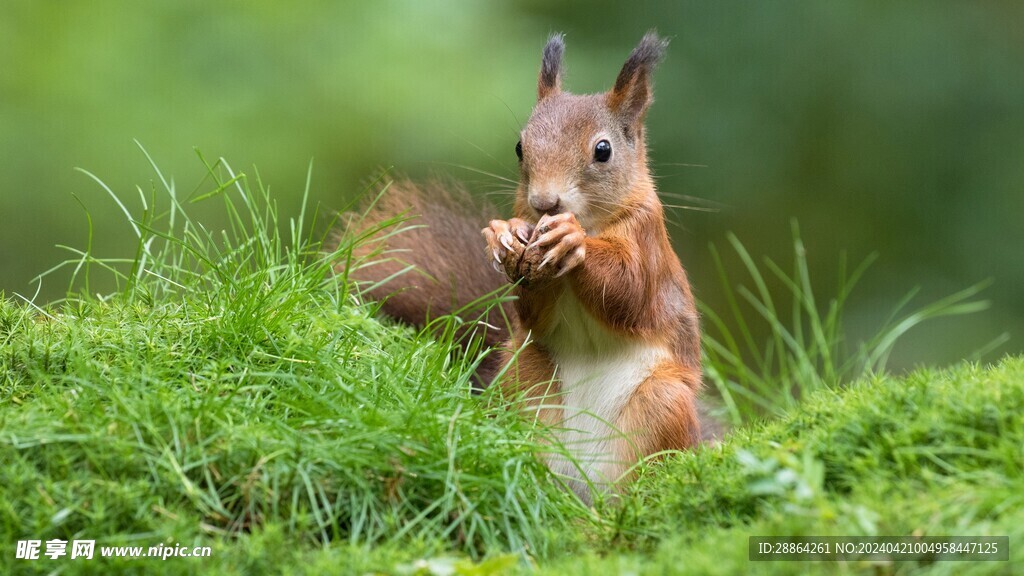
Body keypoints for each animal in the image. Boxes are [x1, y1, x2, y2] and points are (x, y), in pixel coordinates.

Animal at [339, 31, 708, 500]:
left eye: (603, 150)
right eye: (519, 147)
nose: (544, 202)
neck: (591, 222)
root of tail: (582, 484)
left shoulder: (648, 241)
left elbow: (630, 293)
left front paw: (572, 240)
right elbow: (533, 311)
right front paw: (505, 233)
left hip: (663, 404)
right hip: (524, 384)